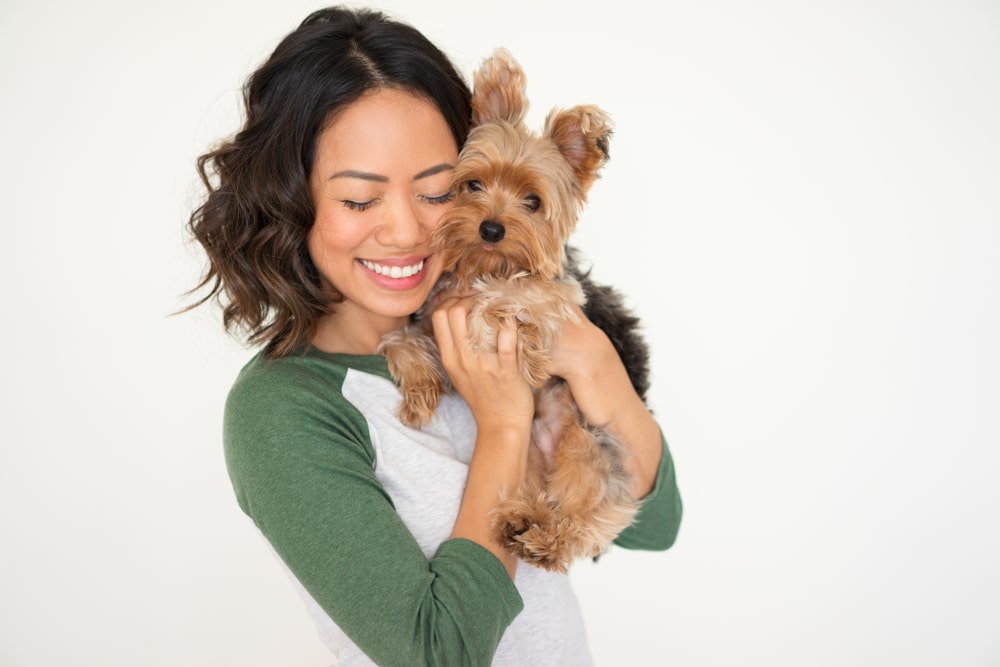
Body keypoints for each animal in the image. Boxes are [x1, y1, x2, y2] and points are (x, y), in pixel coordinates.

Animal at [378, 48, 652, 576]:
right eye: (473, 184)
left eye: (533, 201)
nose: (490, 228)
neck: (485, 265)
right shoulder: (431, 312)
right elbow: (401, 338)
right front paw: (420, 389)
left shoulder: (559, 297)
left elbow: (507, 299)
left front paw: (519, 350)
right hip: (524, 455)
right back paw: (520, 518)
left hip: (589, 445)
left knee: (593, 512)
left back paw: (546, 541)